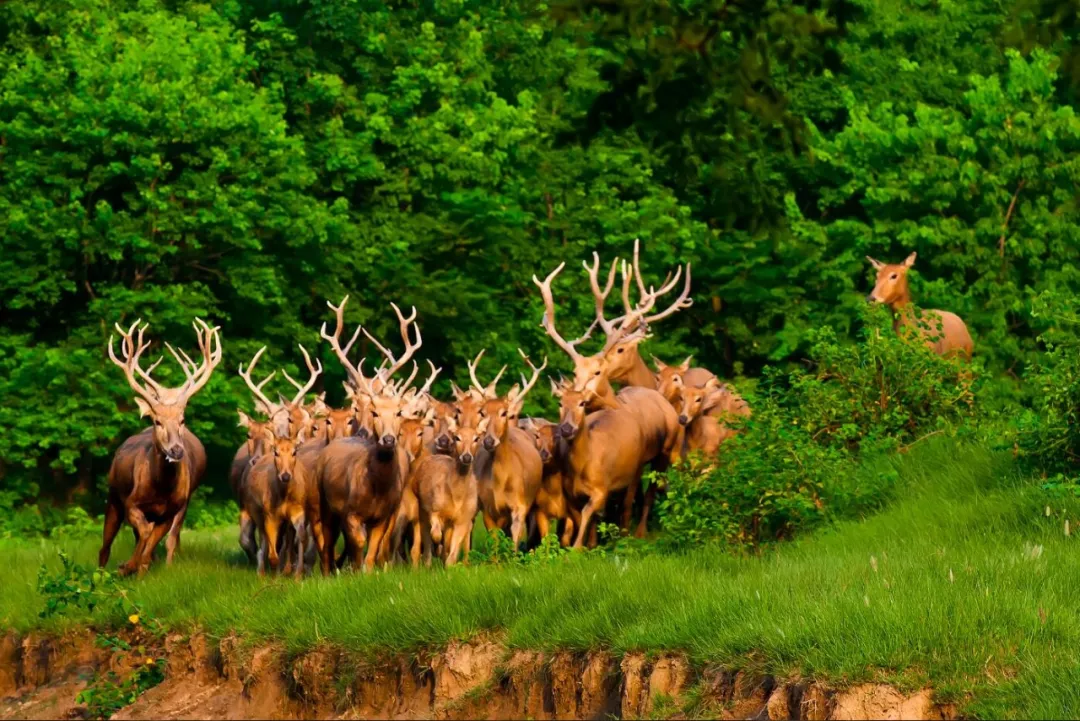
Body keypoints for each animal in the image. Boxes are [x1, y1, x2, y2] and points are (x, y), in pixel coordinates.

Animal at [100, 317, 222, 578]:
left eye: (182, 420)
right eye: (157, 421)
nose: (176, 450)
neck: (160, 489)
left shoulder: (171, 509)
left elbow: (152, 543)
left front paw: (134, 567)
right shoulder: (131, 503)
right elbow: (144, 534)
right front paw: (126, 566)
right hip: (113, 496)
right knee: (104, 547)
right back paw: (102, 573)